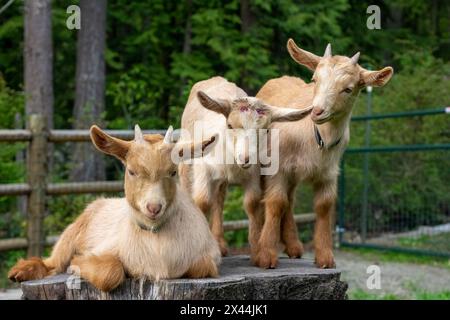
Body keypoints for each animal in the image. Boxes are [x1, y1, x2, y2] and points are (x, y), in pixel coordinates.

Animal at [7, 125, 222, 292]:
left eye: (173, 172)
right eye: (131, 171)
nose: (153, 207)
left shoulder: (208, 256)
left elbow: (202, 267)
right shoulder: (104, 249)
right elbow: (110, 271)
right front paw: (77, 264)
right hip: (72, 232)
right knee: (53, 262)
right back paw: (21, 271)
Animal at [178, 77, 312, 258]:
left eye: (266, 130)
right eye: (230, 125)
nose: (245, 158)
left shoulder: (254, 174)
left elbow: (252, 203)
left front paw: (257, 251)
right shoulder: (203, 169)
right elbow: (202, 202)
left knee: (219, 198)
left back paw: (219, 243)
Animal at [255, 38, 392, 268]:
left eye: (348, 89)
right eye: (314, 79)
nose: (317, 111)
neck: (316, 138)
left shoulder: (328, 173)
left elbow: (324, 206)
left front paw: (326, 257)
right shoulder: (278, 168)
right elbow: (276, 202)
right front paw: (265, 255)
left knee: (290, 200)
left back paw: (294, 246)